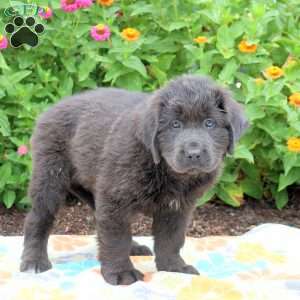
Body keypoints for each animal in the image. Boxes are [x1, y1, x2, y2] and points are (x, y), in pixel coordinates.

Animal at [19, 74, 248, 284]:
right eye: (175, 124)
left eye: (209, 123)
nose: (194, 154)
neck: (164, 169)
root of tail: (51, 109)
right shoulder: (114, 199)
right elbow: (116, 238)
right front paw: (121, 273)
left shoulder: (177, 208)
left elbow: (170, 239)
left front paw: (173, 268)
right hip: (50, 177)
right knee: (38, 219)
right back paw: (34, 261)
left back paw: (134, 247)